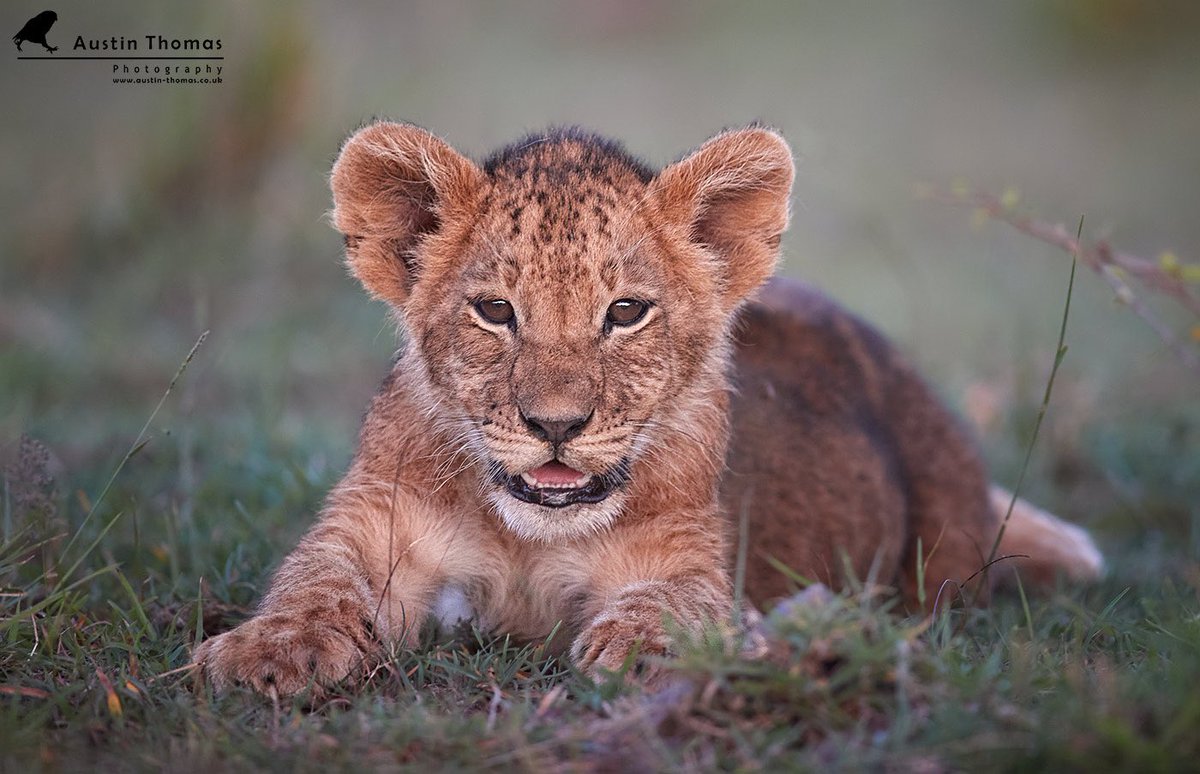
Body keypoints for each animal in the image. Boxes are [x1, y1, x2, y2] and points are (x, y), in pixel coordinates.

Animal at [193, 122, 1103, 694]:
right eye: (495, 311)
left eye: (626, 312)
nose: (556, 426)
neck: (526, 542)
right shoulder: (370, 524)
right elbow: (313, 582)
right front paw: (268, 652)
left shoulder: (688, 555)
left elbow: (674, 605)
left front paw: (645, 655)